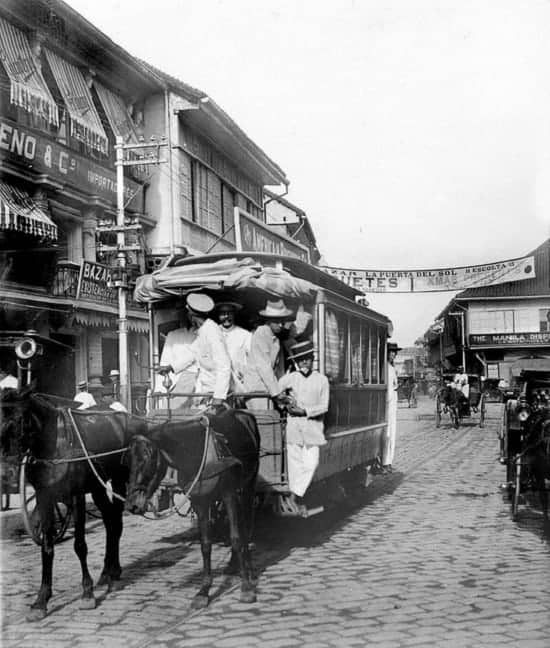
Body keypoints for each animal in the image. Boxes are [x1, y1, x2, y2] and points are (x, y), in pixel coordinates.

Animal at [0, 388, 147, 620]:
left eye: (22, 420)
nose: (7, 473)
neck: (54, 443)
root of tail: (124, 414)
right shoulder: (45, 496)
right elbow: (47, 548)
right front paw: (41, 601)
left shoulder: (76, 495)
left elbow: (80, 545)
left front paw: (87, 593)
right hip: (97, 486)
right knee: (110, 522)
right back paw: (106, 573)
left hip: (118, 479)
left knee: (116, 522)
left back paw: (114, 574)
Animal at [126, 410, 262, 608]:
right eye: (128, 462)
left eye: (147, 459)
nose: (132, 505)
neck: (195, 453)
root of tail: (242, 413)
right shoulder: (200, 502)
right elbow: (205, 544)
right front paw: (203, 591)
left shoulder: (229, 494)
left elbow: (236, 538)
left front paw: (246, 587)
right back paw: (232, 565)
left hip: (247, 487)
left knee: (246, 527)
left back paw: (248, 569)